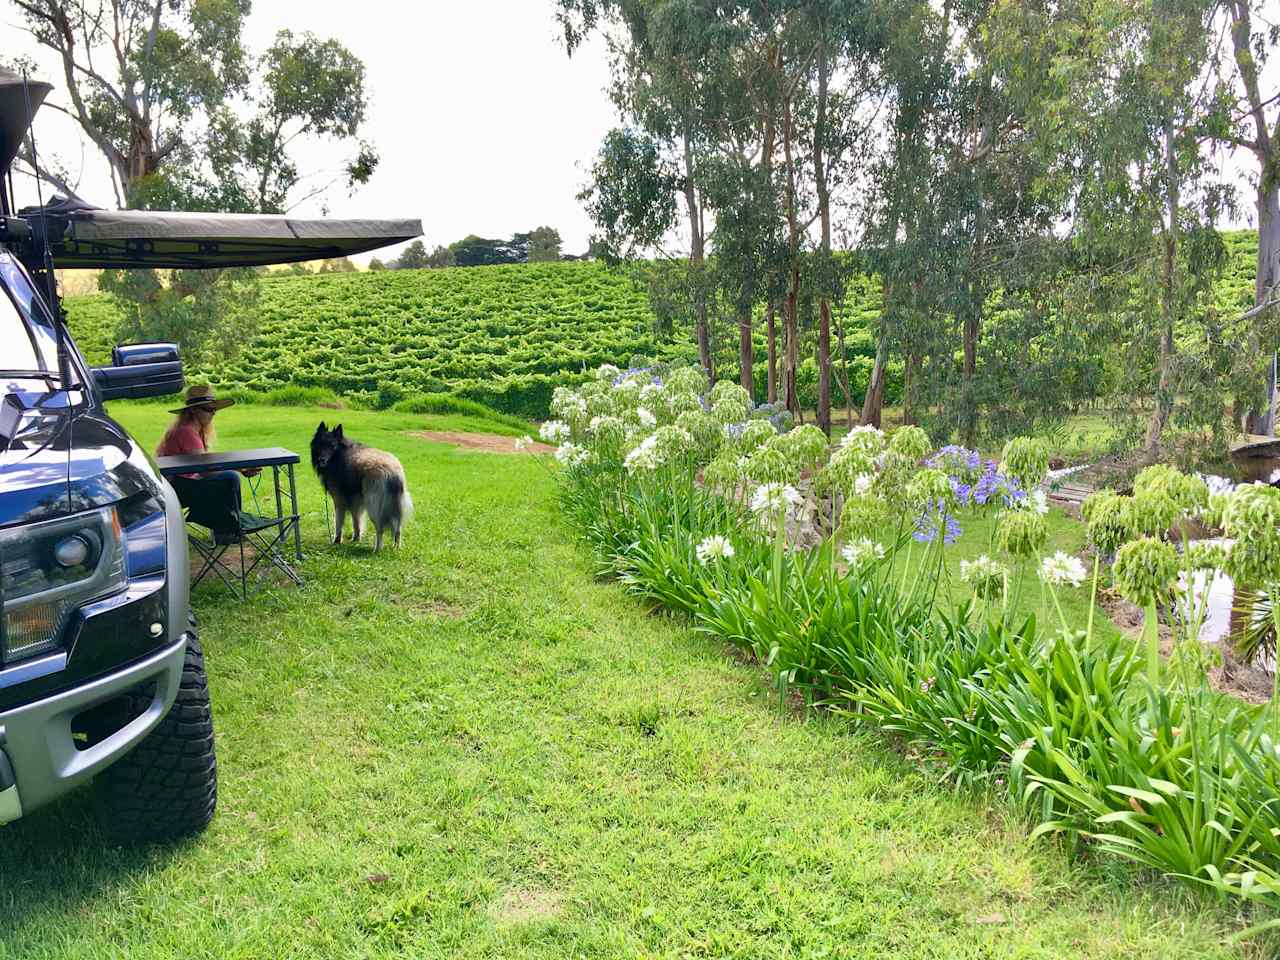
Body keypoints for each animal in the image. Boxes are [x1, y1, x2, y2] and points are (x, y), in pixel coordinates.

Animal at [309, 424, 409, 552]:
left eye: (332, 446)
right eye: (320, 444)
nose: (322, 460)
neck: (340, 454)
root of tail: (392, 472)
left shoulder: (339, 501)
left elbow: (338, 524)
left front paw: (336, 541)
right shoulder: (356, 502)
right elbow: (356, 521)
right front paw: (356, 539)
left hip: (374, 507)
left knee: (380, 529)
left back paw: (377, 549)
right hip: (395, 508)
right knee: (397, 529)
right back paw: (396, 548)